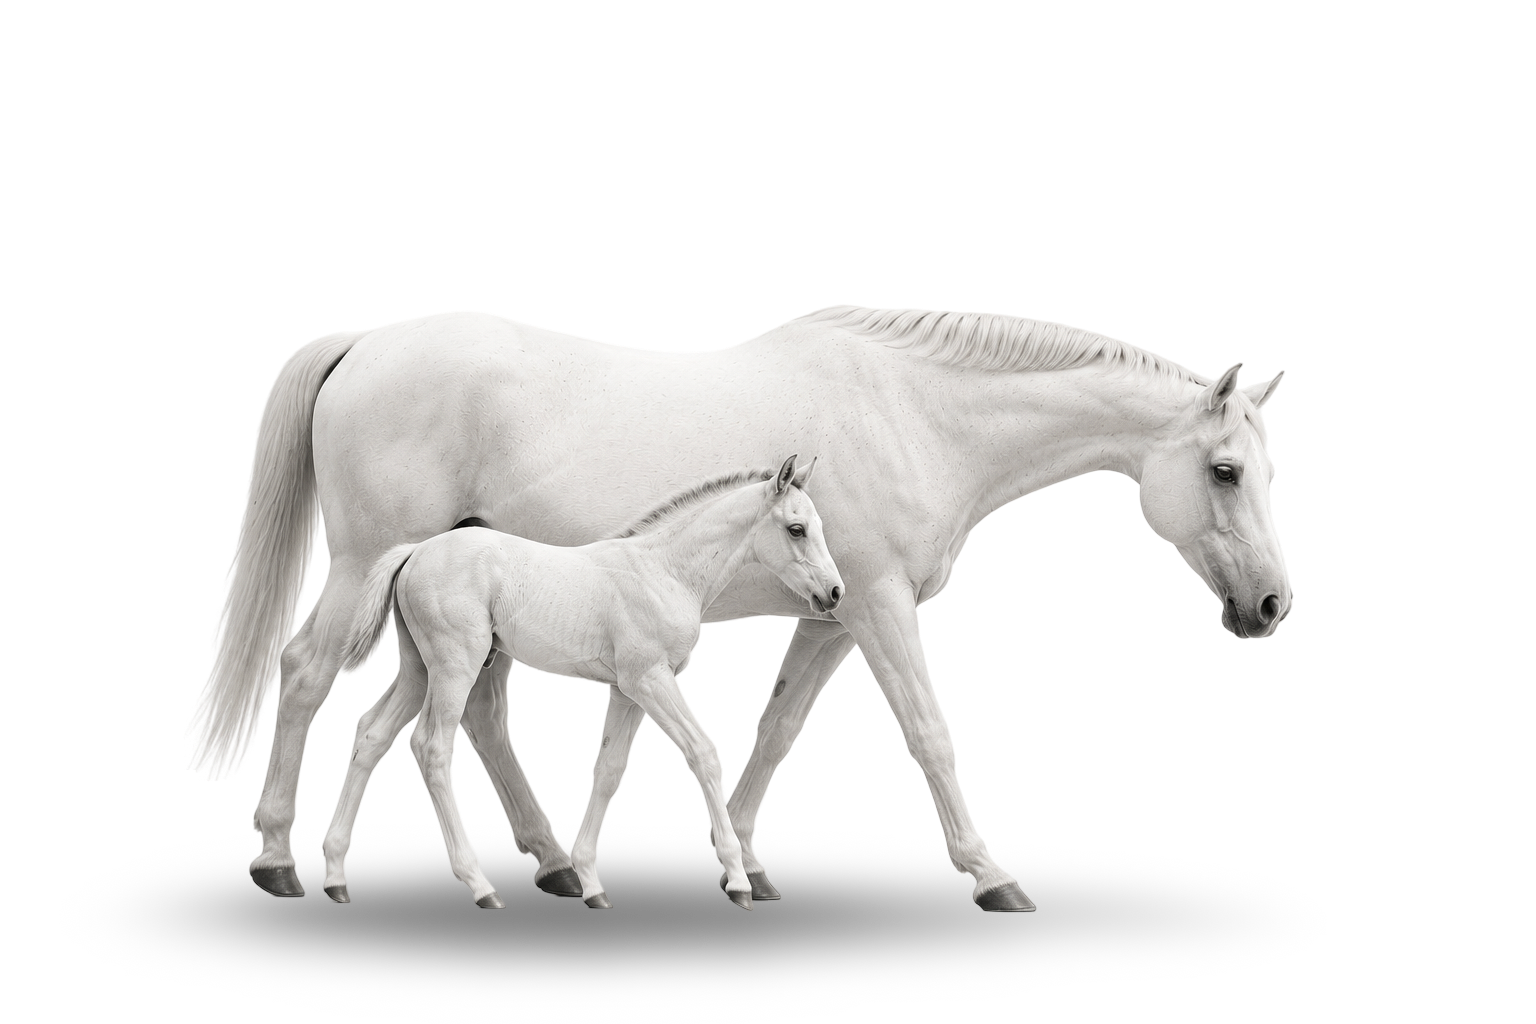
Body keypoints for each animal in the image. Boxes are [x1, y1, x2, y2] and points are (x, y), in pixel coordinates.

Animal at [325, 455, 843, 911]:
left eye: (818, 525)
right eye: (796, 529)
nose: (836, 592)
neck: (665, 572)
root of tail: (415, 550)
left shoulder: (628, 692)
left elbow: (608, 772)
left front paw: (591, 883)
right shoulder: (652, 681)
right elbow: (703, 753)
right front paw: (738, 881)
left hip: (419, 669)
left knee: (371, 732)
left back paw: (334, 875)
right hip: (456, 667)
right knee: (431, 747)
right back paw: (481, 885)